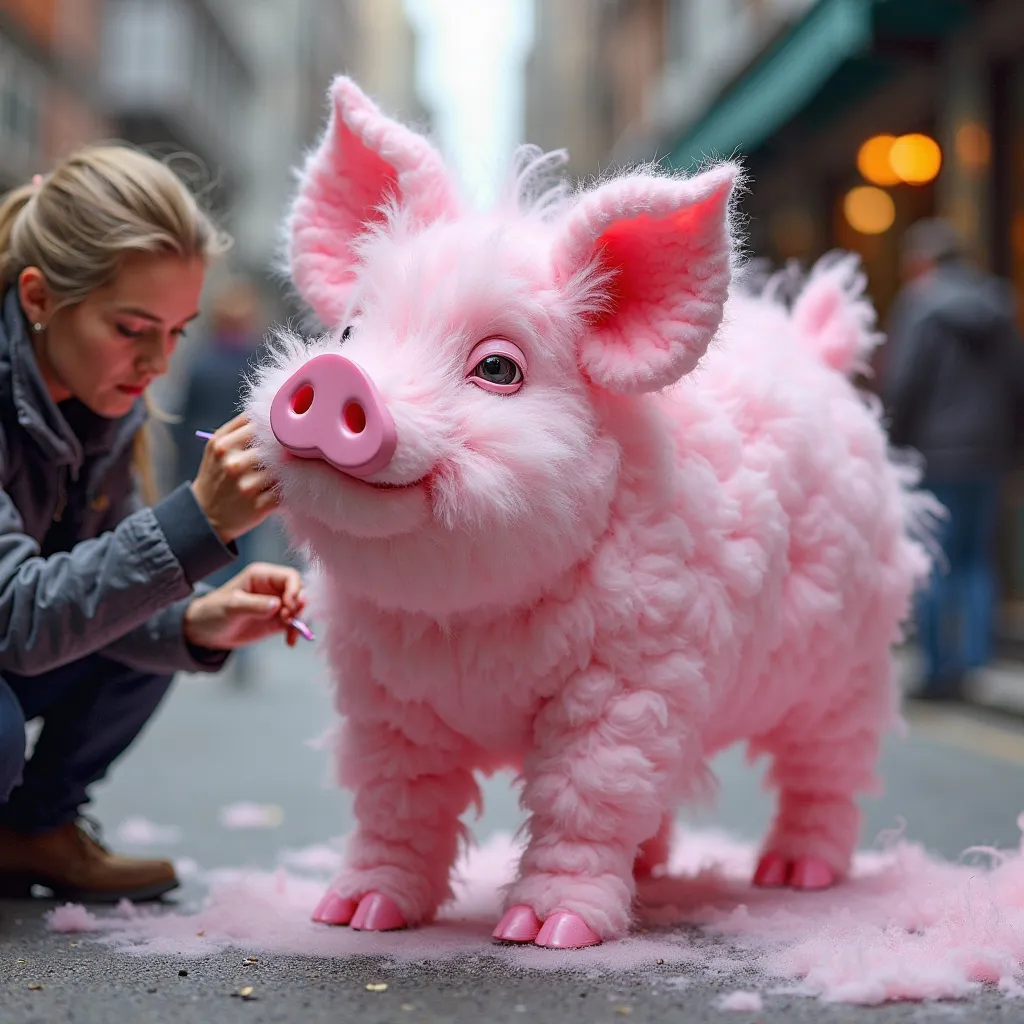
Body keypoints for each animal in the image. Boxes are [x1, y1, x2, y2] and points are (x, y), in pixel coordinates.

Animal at [243, 79, 937, 950]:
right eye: (347, 330)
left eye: (497, 368)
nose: (337, 376)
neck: (466, 623)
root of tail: (819, 350)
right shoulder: (386, 700)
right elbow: (396, 803)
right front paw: (354, 917)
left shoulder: (628, 683)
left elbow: (587, 795)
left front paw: (545, 932)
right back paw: (654, 875)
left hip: (850, 665)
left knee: (826, 771)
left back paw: (794, 876)